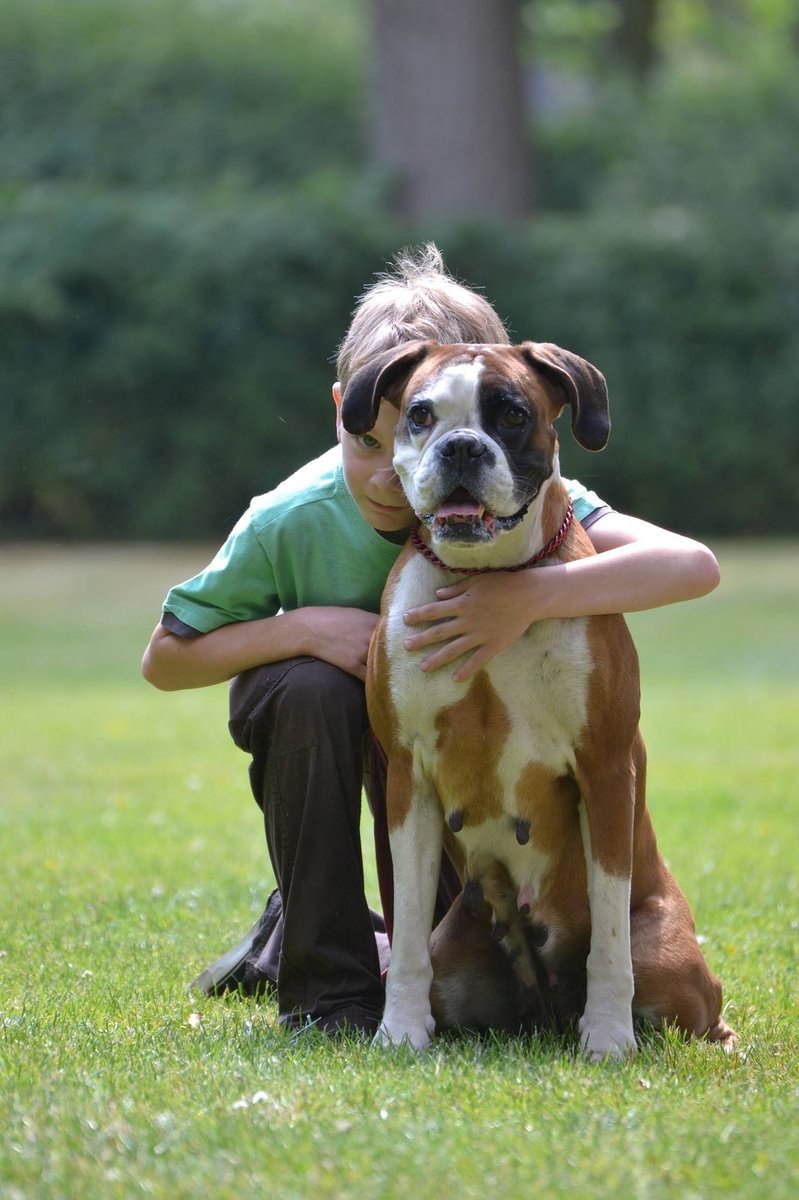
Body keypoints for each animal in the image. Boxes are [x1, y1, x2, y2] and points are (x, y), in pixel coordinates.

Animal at [338, 340, 734, 1060]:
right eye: (420, 413)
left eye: (512, 414)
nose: (462, 447)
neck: (487, 578)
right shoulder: (408, 778)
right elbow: (405, 932)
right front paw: (400, 1029)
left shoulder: (605, 767)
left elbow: (609, 932)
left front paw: (607, 1036)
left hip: (670, 962)